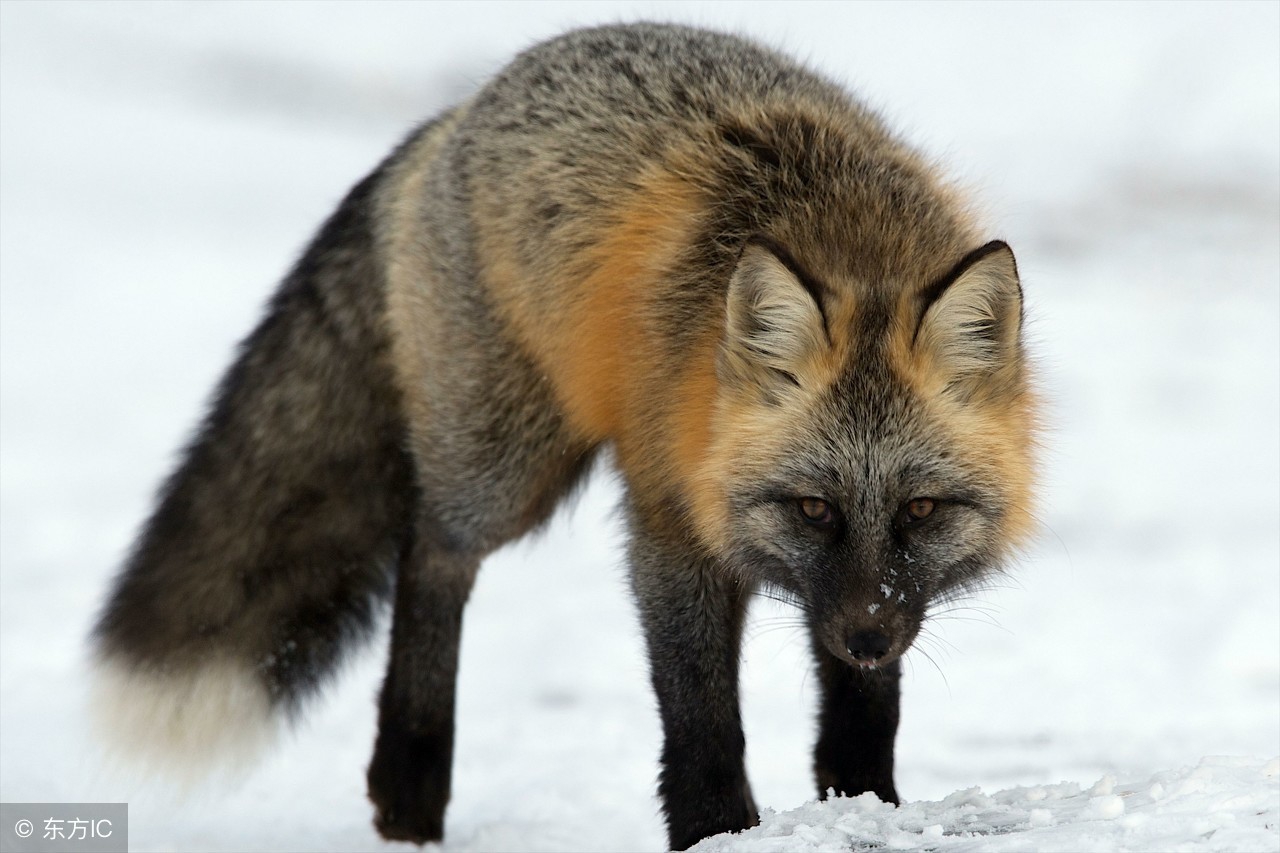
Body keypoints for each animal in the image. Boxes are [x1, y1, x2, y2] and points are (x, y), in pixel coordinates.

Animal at [90, 21, 1034, 850]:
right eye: (814, 507)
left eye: (920, 510)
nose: (869, 636)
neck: (849, 233)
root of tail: (461, 110)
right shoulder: (669, 521)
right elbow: (700, 711)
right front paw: (714, 829)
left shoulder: (846, 592)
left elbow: (865, 710)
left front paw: (864, 803)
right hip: (505, 466)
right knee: (429, 550)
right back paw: (411, 782)